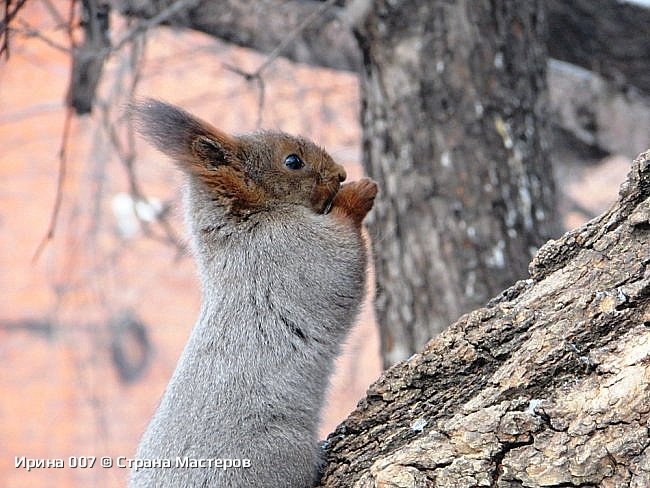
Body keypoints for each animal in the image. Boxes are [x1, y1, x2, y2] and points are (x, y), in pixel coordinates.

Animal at [128, 100, 374, 488]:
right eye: (292, 161)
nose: (341, 173)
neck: (245, 222)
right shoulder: (293, 252)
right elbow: (342, 251)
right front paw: (359, 193)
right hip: (272, 456)